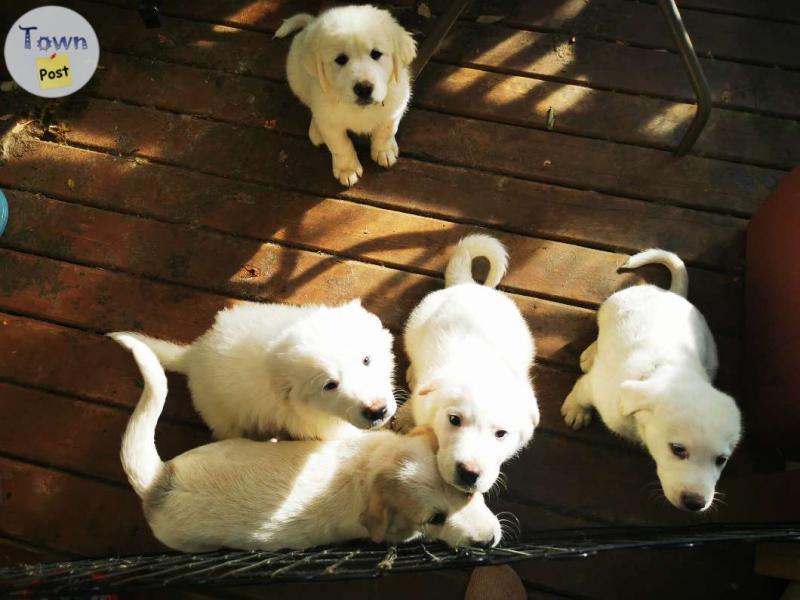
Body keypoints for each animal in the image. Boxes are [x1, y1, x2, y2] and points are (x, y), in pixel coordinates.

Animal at [276, 5, 416, 186]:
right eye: (341, 59)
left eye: (376, 54)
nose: (364, 88)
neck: (359, 109)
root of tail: (311, 24)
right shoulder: (330, 122)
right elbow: (340, 145)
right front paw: (347, 169)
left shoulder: (395, 107)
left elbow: (385, 131)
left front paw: (384, 150)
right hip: (296, 77)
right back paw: (316, 130)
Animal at [560, 248, 740, 510]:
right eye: (678, 449)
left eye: (721, 459)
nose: (696, 503)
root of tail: (670, 294)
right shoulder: (596, 387)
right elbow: (580, 392)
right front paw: (576, 411)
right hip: (610, 305)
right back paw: (592, 352)